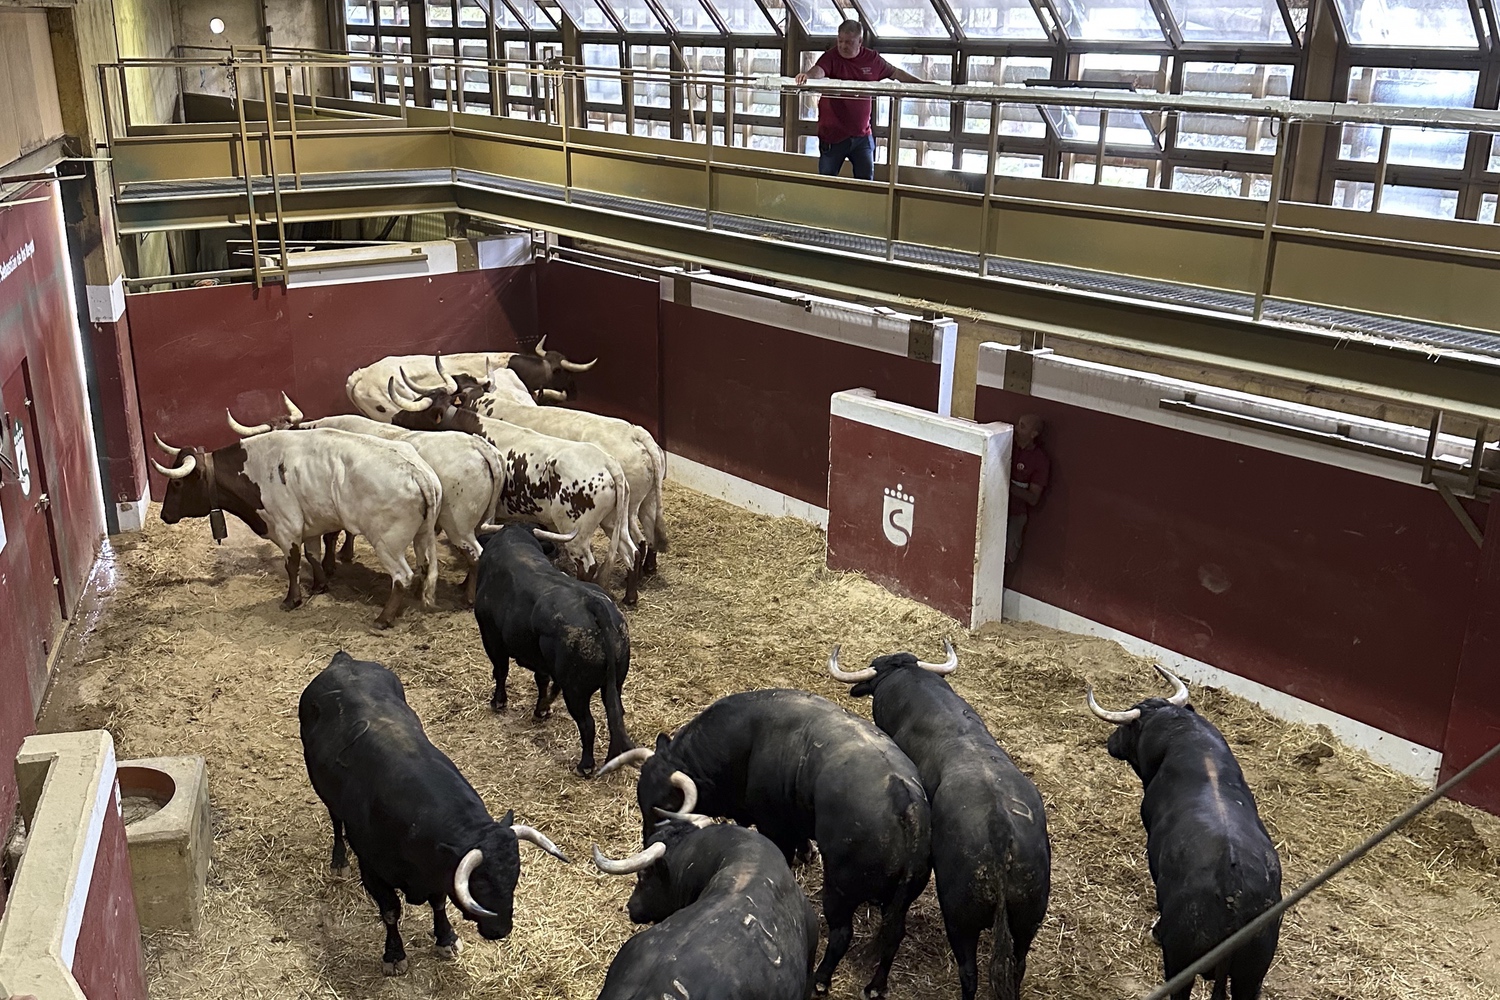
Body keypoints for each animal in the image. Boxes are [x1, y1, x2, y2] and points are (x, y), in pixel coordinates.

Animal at [600, 689, 930, 1000]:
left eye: (667, 804)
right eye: (641, 798)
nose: (650, 842)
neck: (746, 741)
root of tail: (906, 802)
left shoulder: (774, 827)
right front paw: (806, 852)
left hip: (839, 891)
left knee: (841, 935)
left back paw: (822, 980)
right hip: (896, 902)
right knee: (893, 936)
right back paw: (876, 986)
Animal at [1086, 668, 1284, 1000]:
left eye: (1126, 729)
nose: (1110, 743)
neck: (1183, 736)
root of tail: (1233, 891)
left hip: (1180, 962)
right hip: (1251, 974)